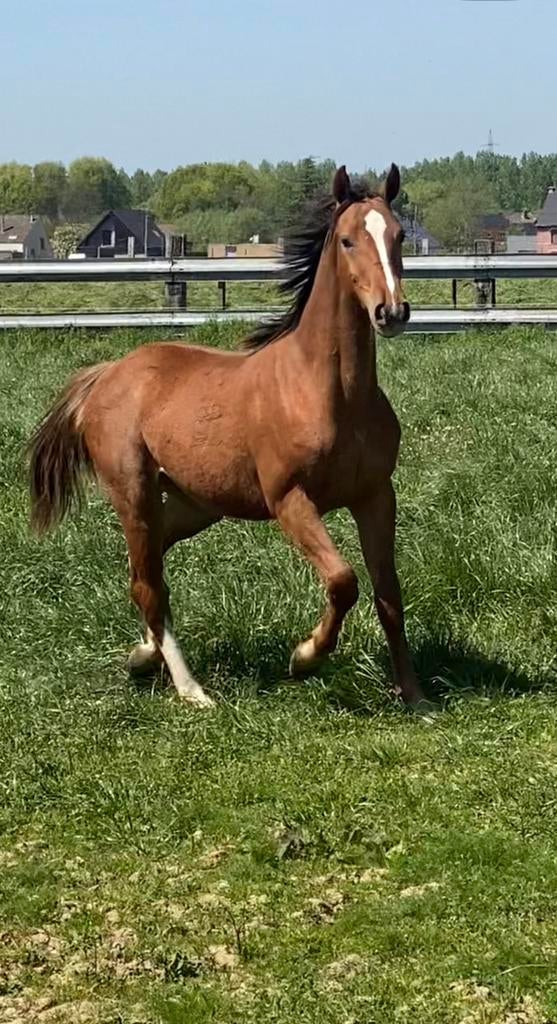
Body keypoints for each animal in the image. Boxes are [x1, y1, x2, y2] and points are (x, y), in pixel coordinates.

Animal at [28, 163, 425, 710]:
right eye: (347, 240)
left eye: (399, 235)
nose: (392, 312)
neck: (330, 395)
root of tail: (108, 373)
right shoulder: (289, 500)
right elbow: (344, 582)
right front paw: (303, 658)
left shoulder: (376, 496)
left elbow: (390, 595)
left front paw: (415, 697)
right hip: (134, 492)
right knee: (148, 585)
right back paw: (192, 690)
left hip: (195, 503)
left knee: (147, 569)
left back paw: (143, 656)